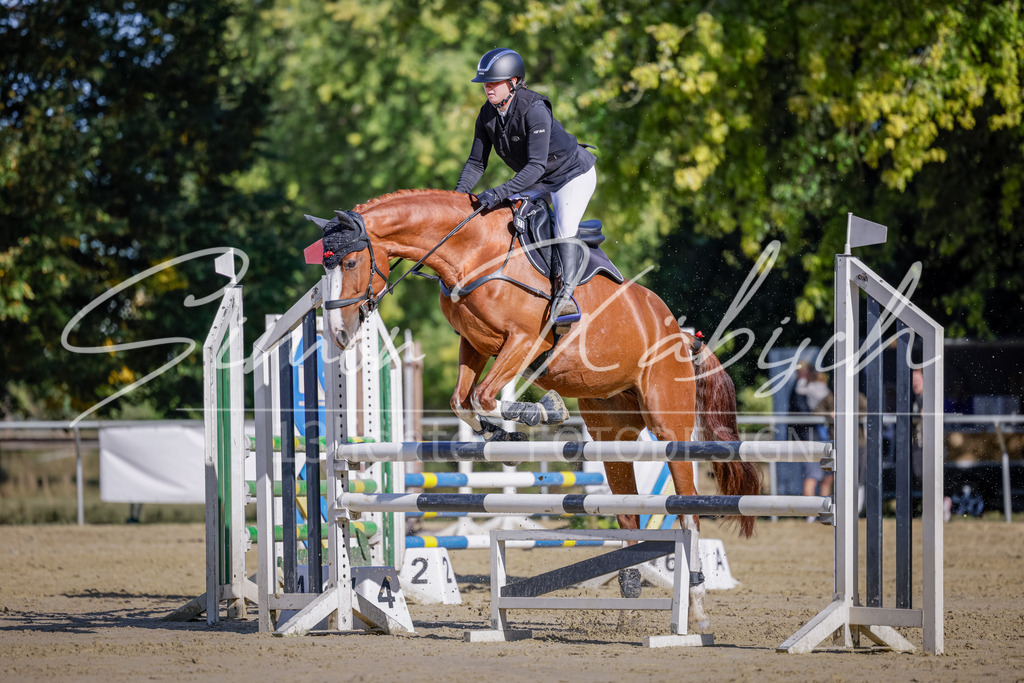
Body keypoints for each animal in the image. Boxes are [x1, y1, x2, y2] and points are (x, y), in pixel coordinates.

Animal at [306, 189, 761, 629]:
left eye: (350, 262)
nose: (339, 334)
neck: (472, 252)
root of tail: (681, 334)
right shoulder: (475, 344)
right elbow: (464, 400)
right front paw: (500, 433)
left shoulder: (523, 340)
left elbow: (485, 395)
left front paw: (544, 410)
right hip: (612, 434)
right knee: (628, 511)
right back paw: (628, 606)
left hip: (670, 429)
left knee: (688, 514)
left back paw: (696, 611)